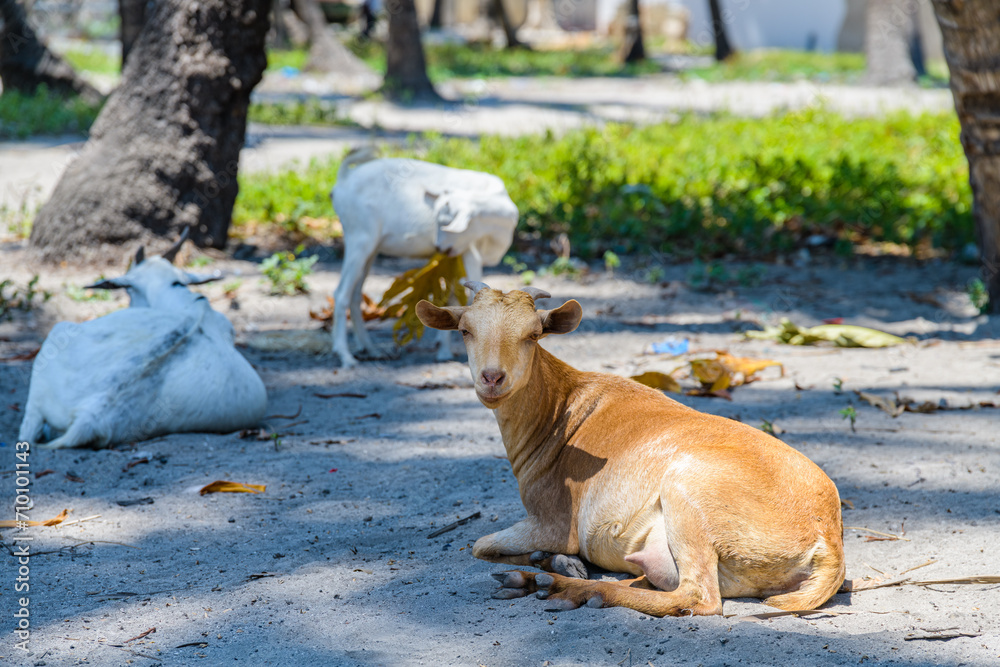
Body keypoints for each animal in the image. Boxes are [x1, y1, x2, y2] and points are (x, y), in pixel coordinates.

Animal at [330, 148, 518, 368]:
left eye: (446, 222)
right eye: (438, 220)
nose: (439, 247)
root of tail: (344, 179)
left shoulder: (456, 255)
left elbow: (453, 298)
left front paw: (444, 351)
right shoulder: (468, 252)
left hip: (370, 249)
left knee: (355, 293)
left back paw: (371, 350)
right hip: (359, 239)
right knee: (341, 293)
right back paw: (345, 356)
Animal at [416, 281, 845, 617]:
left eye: (533, 334)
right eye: (465, 330)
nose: (492, 378)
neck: (560, 410)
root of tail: (827, 537)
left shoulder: (552, 519)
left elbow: (480, 545)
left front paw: (559, 564)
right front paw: (557, 563)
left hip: (690, 494)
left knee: (699, 596)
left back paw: (564, 588)